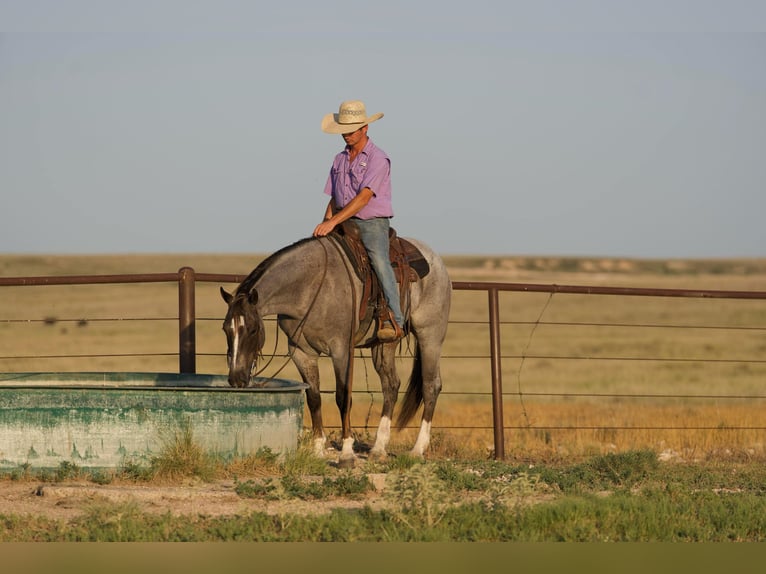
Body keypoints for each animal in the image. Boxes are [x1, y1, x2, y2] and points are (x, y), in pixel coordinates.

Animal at [220, 233, 451, 467]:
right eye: (225, 328)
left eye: (253, 329)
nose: (236, 379)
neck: (311, 288)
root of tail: (435, 260)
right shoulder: (301, 352)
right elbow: (313, 397)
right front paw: (317, 450)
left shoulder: (341, 349)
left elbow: (343, 397)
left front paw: (347, 454)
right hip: (384, 344)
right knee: (391, 386)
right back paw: (378, 448)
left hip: (430, 335)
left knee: (431, 386)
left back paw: (417, 449)